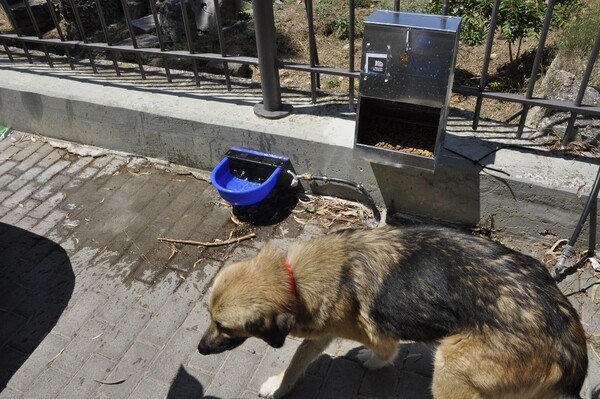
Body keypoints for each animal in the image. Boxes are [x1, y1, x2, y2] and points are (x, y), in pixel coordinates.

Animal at [197, 227, 584, 398]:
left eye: (224, 327)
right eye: (209, 316)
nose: (200, 350)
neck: (293, 280)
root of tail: (569, 346)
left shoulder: (378, 336)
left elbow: (384, 352)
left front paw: (372, 360)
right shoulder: (322, 334)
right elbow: (296, 361)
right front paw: (279, 385)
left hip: (450, 370)